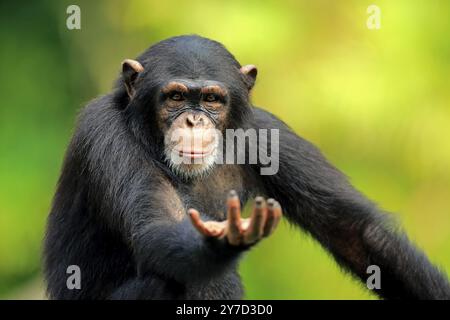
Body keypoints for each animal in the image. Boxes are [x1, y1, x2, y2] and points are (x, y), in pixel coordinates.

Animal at [44, 35, 450, 300]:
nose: (194, 120)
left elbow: (356, 234)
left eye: (212, 99)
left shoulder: (268, 133)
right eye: (175, 96)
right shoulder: (104, 135)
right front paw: (224, 238)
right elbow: (155, 232)